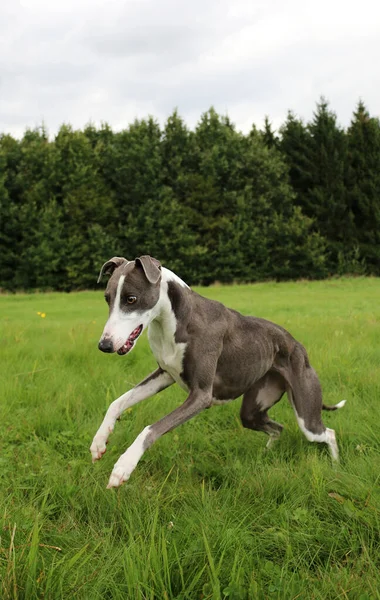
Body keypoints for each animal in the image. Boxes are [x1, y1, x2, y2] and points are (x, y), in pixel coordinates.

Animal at [90, 254, 346, 488]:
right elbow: (118, 402)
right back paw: (267, 454)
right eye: (107, 298)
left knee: (329, 432)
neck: (175, 320)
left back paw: (335, 467)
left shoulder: (201, 395)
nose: (104, 345)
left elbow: (150, 429)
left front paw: (123, 467)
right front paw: (99, 442)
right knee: (278, 428)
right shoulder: (164, 374)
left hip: (306, 414)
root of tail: (299, 347)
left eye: (131, 298)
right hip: (253, 410)